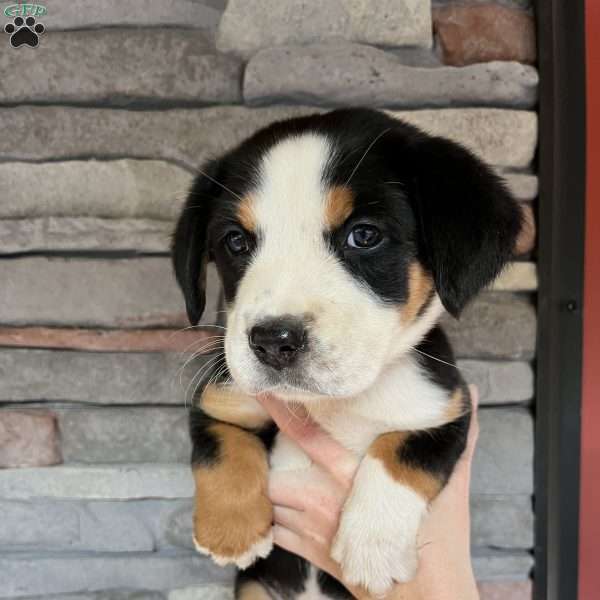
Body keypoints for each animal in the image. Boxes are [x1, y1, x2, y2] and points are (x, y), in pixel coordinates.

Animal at [171, 109, 524, 600]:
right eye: (236, 242)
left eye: (364, 235)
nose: (273, 340)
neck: (337, 403)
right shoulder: (222, 398)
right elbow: (220, 444)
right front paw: (231, 530)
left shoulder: (445, 411)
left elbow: (400, 454)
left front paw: (372, 547)